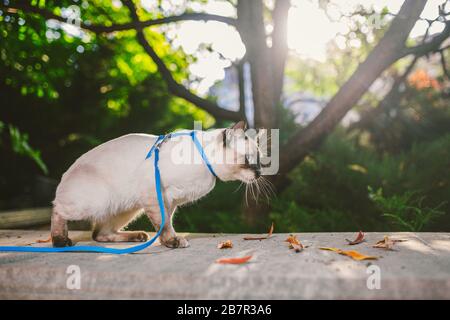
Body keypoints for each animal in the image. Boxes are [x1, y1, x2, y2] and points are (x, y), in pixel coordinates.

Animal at [51, 121, 264, 249]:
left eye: (260, 161)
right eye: (249, 160)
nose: (259, 173)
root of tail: (65, 173)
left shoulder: (171, 201)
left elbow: (165, 222)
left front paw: (167, 242)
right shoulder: (155, 194)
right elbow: (164, 223)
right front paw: (173, 242)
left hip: (127, 208)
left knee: (99, 234)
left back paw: (138, 236)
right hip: (96, 202)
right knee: (57, 210)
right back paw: (60, 241)